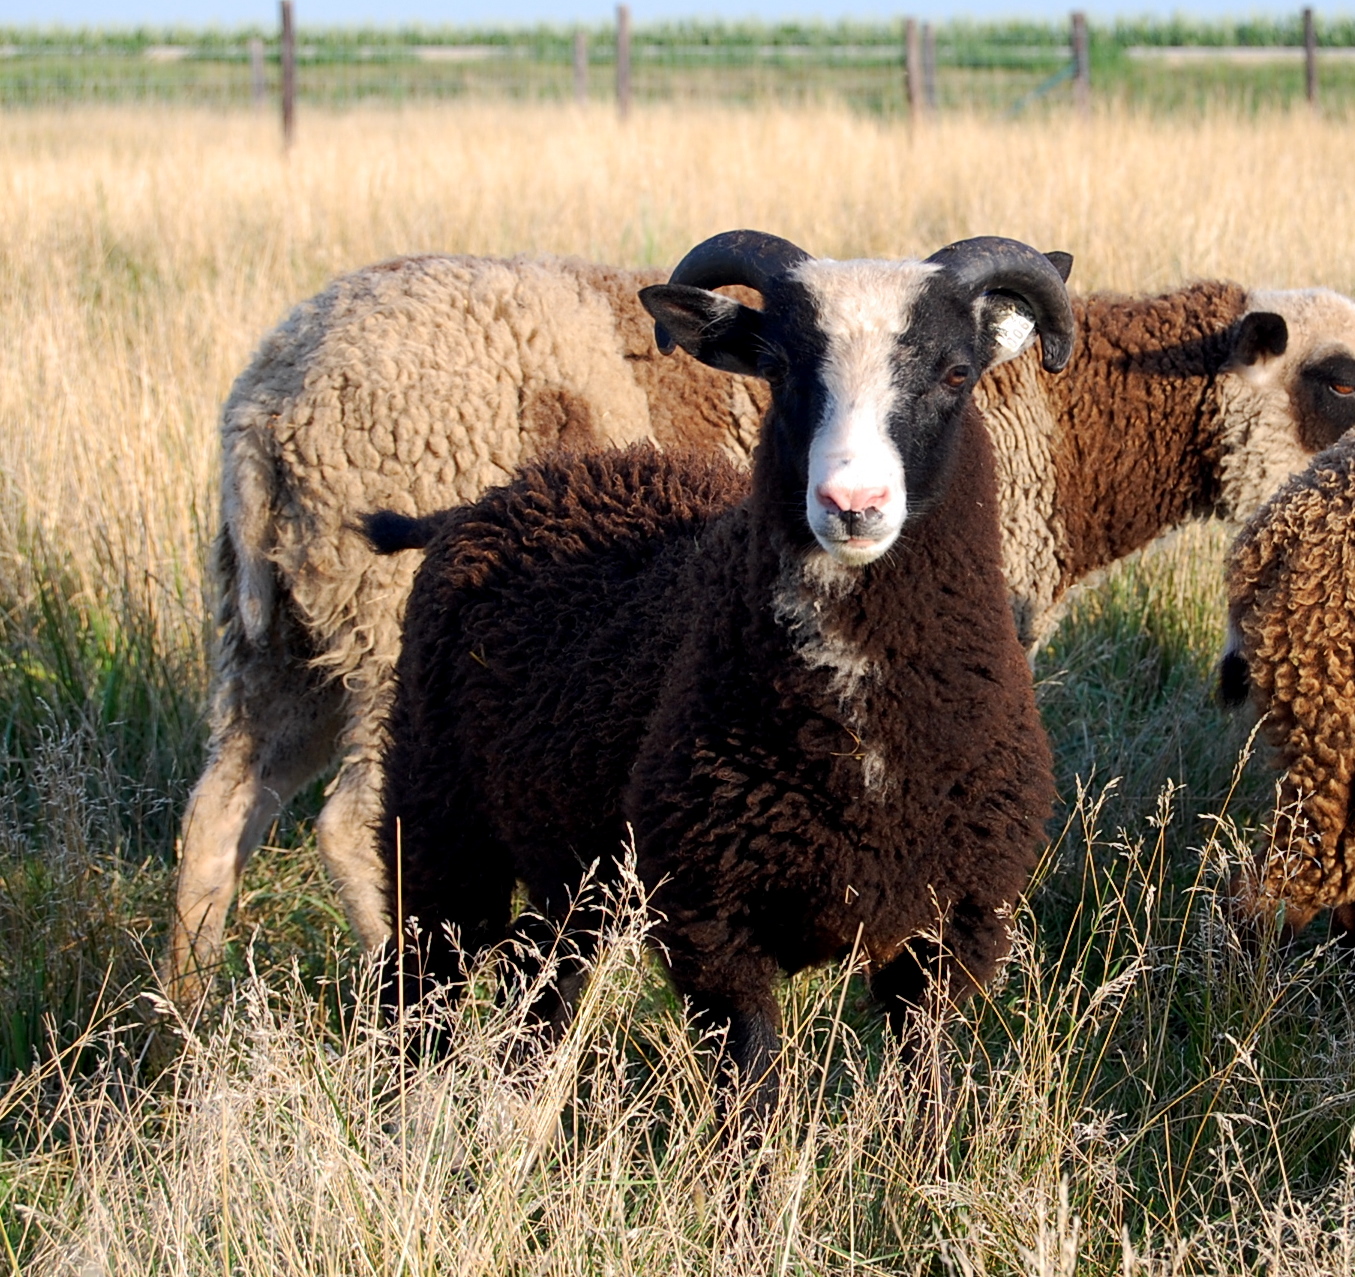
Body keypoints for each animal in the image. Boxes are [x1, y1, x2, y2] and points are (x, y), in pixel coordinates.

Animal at [166, 246, 1355, 1010]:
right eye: (1336, 381)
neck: (1063, 430)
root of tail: (266, 412)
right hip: (385, 643)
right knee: (356, 831)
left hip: (280, 639)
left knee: (216, 815)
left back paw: (186, 1022)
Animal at [369, 229, 1074, 1115]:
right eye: (777, 366)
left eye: (955, 372)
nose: (852, 504)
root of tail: (500, 493)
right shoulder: (710, 921)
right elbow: (753, 1086)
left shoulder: (951, 931)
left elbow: (926, 1087)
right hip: (437, 814)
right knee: (421, 975)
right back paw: (400, 1111)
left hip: (578, 865)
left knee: (541, 973)